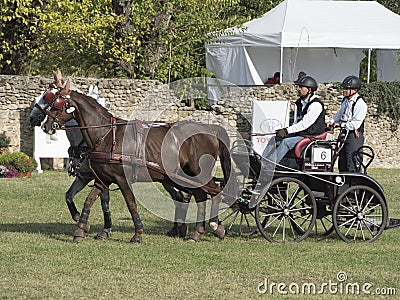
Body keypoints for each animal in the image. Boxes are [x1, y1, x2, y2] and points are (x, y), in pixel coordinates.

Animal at [41, 80, 236, 244]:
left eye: (57, 105)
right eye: (50, 102)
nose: (45, 125)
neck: (106, 135)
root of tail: (210, 129)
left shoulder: (122, 179)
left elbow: (131, 204)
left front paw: (138, 233)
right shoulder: (102, 179)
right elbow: (89, 201)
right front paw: (81, 230)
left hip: (197, 173)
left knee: (212, 191)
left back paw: (213, 227)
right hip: (180, 176)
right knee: (199, 195)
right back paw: (198, 231)